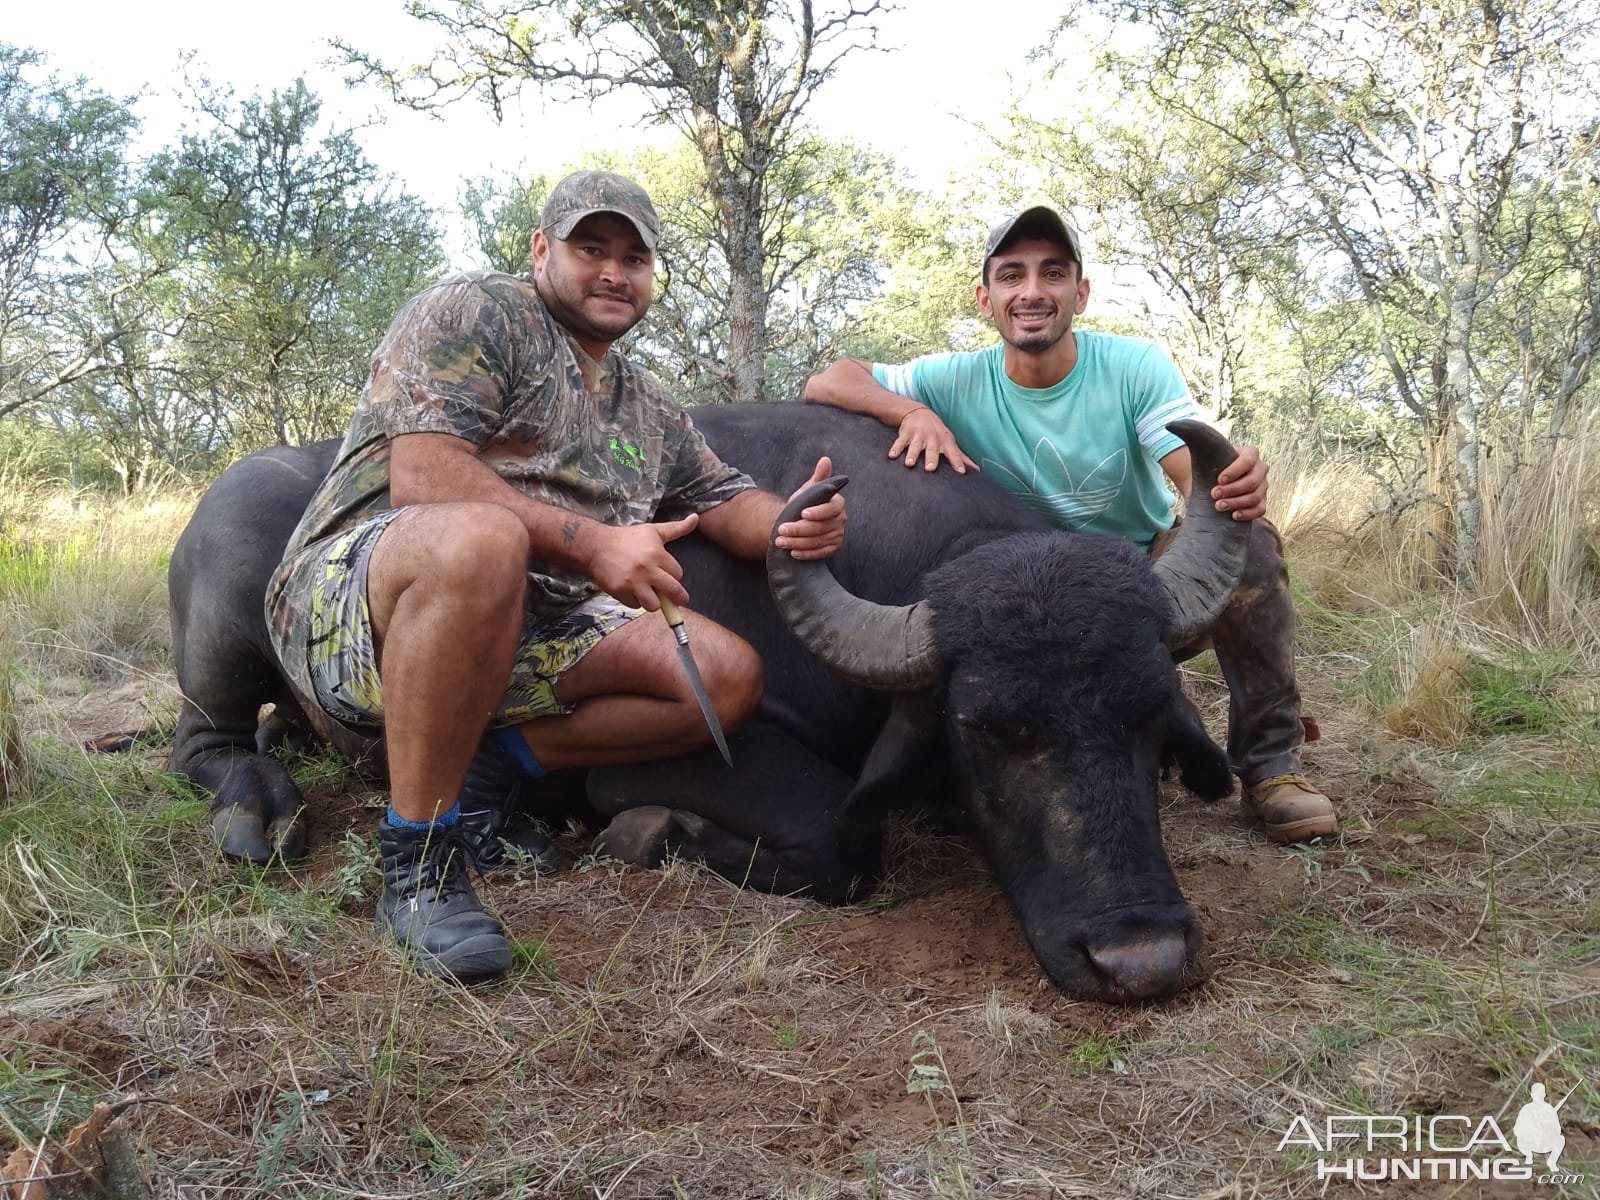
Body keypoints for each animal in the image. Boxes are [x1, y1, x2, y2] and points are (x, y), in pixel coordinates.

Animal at [168, 404, 1241, 1004]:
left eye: (1151, 716)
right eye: (987, 728)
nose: (1140, 956)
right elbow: (844, 841)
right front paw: (649, 832)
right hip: (226, 634)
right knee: (204, 744)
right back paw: (258, 814)